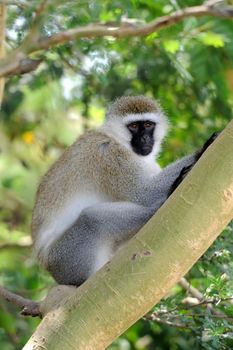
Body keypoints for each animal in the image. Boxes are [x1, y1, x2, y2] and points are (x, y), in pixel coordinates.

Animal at [31, 96, 218, 288]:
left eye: (148, 125)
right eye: (134, 126)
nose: (144, 138)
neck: (116, 139)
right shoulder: (109, 154)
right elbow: (144, 193)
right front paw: (203, 149)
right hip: (65, 258)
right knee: (93, 219)